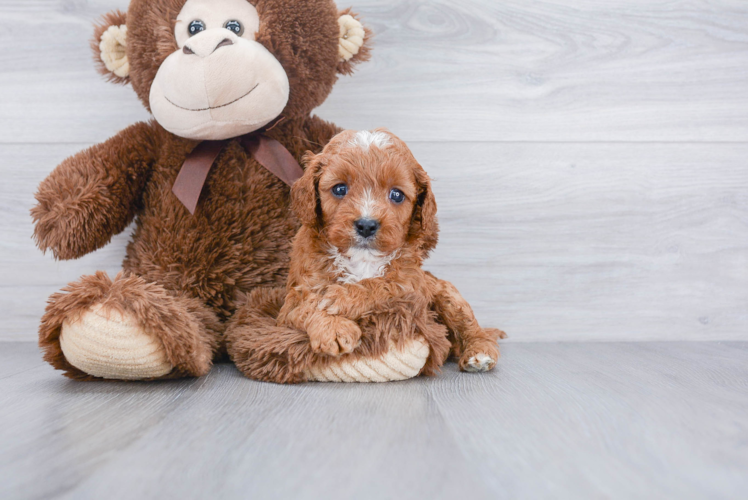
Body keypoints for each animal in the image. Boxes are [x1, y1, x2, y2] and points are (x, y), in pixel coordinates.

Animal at [225, 128, 506, 382]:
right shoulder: (292, 301)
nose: (367, 225)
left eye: (396, 194)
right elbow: (305, 306)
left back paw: (479, 352)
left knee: (470, 325)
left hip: (445, 293)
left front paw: (339, 296)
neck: (361, 259)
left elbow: (381, 286)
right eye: (339, 189)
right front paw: (333, 328)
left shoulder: (410, 286)